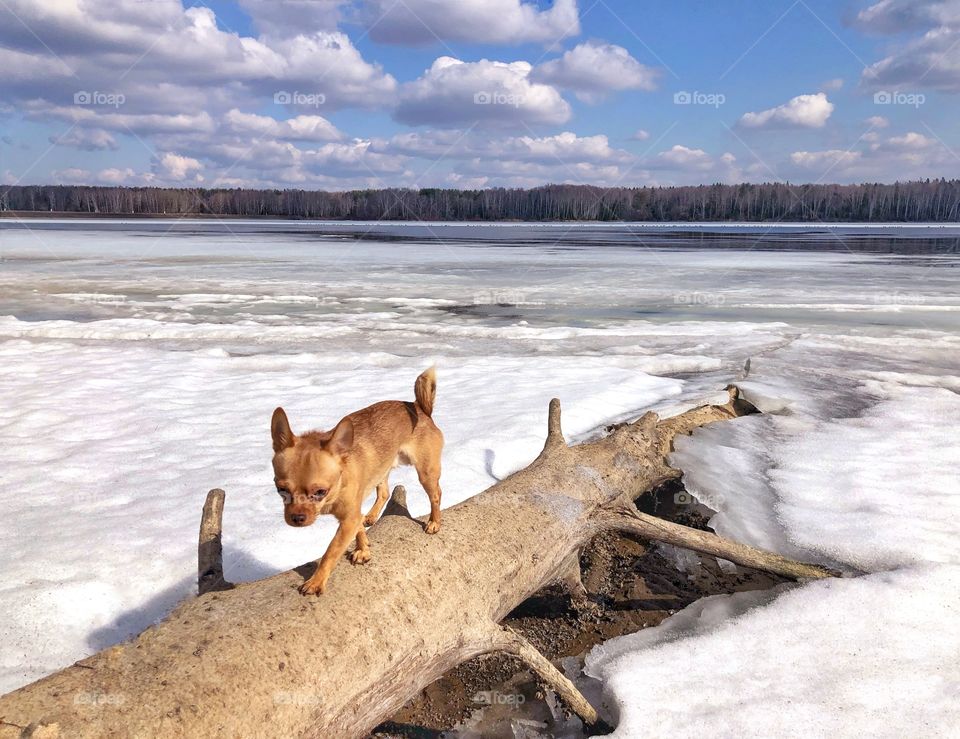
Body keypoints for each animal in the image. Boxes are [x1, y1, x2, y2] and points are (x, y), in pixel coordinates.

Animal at [272, 368, 444, 596]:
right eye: (280, 489)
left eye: (320, 491)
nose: (296, 518)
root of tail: (418, 407)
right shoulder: (352, 517)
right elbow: (359, 530)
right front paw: (363, 550)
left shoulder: (348, 520)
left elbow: (331, 551)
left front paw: (316, 581)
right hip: (382, 469)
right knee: (384, 492)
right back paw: (371, 516)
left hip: (426, 473)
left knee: (436, 495)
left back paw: (434, 522)